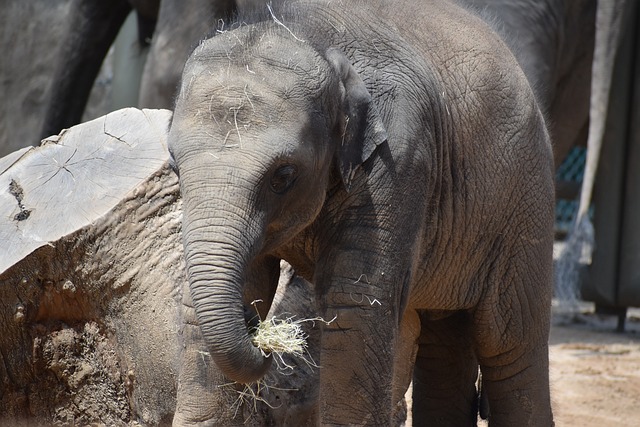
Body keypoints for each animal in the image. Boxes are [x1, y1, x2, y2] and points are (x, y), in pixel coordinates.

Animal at [169, 1, 556, 426]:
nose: (258, 333)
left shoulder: (398, 160)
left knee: (510, 344)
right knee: (445, 341)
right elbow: (240, 289)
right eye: (174, 166)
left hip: (525, 202)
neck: (309, 35)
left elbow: (355, 303)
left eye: (283, 175)